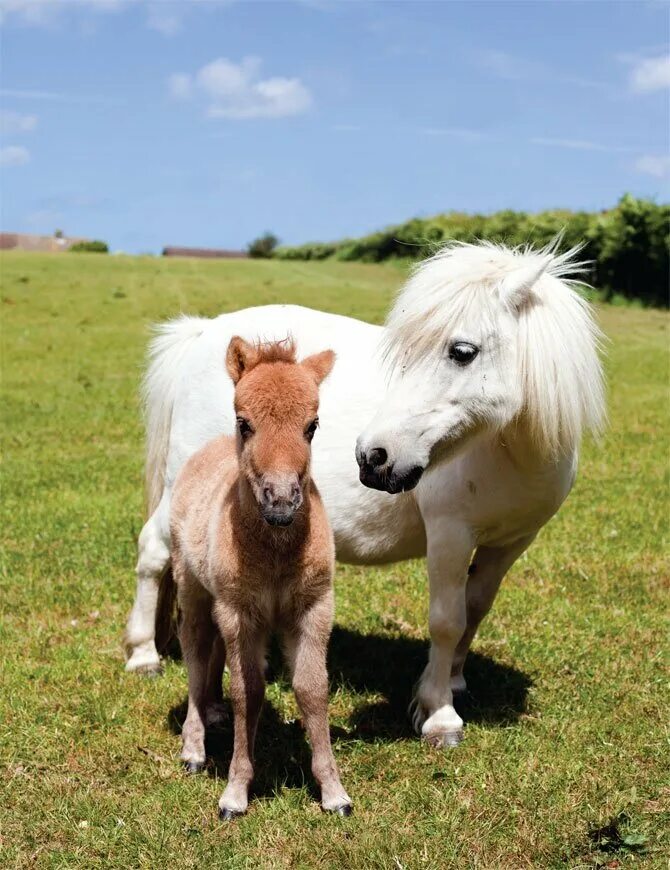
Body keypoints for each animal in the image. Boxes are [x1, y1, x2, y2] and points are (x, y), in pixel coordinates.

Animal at [127, 242, 608, 744]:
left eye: (462, 352)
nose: (372, 456)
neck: (503, 451)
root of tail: (203, 334)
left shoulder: (511, 543)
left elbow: (475, 609)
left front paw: (455, 679)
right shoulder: (450, 535)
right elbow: (447, 619)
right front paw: (439, 713)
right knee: (153, 551)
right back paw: (143, 655)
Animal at [171, 338, 354, 820]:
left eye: (312, 426)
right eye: (245, 423)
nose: (282, 502)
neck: (273, 553)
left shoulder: (314, 606)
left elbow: (312, 689)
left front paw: (334, 792)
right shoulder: (238, 611)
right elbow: (247, 691)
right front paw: (235, 793)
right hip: (191, 585)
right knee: (195, 649)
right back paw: (194, 747)